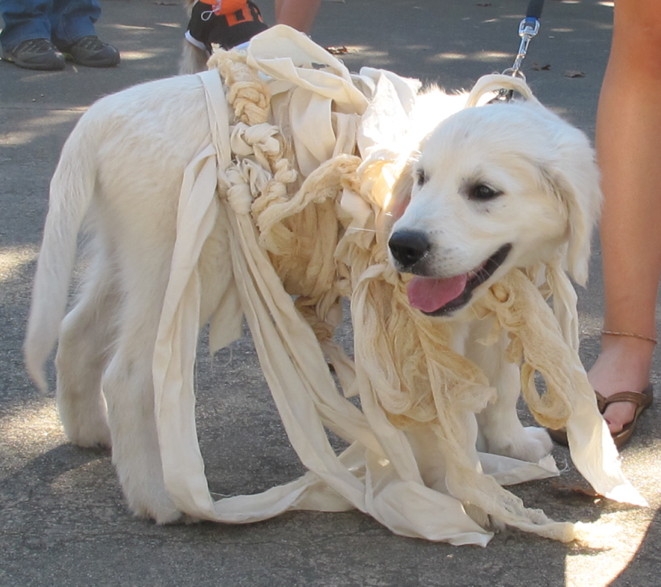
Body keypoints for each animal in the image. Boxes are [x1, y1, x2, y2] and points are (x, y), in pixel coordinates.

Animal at [23, 56, 600, 524]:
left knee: (77, 331)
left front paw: (509, 442)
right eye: (421, 179)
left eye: (484, 192)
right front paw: (462, 487)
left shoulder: (494, 293)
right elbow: (444, 406)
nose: (403, 246)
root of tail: (100, 116)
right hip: (183, 267)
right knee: (127, 376)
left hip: (130, 259)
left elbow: (499, 381)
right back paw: (157, 499)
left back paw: (89, 431)